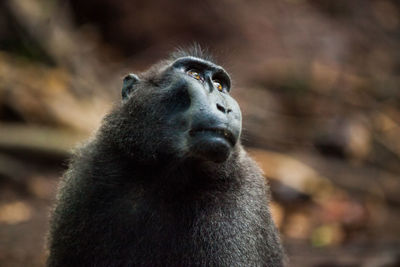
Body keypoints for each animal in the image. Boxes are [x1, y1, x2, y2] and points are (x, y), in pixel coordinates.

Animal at [47, 47, 284, 266]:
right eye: (194, 75)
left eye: (219, 86)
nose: (225, 107)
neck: (165, 178)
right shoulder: (90, 174)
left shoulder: (237, 202)